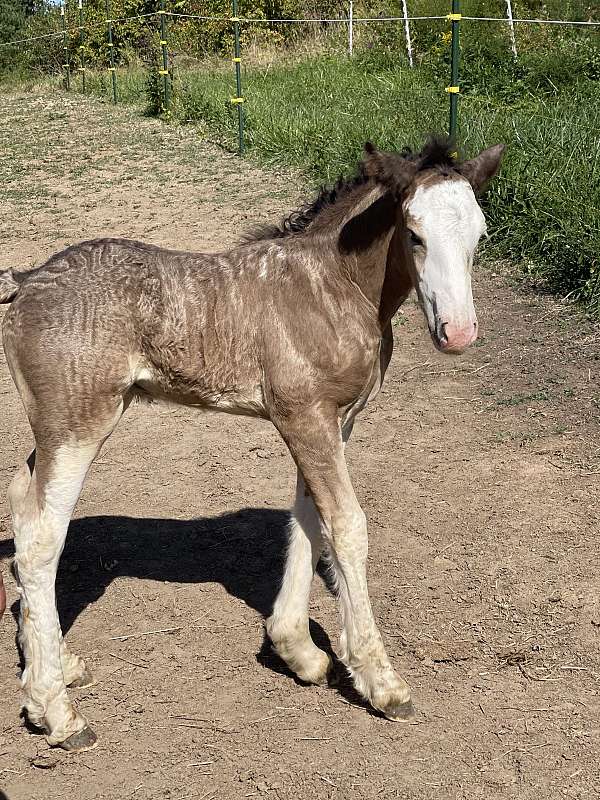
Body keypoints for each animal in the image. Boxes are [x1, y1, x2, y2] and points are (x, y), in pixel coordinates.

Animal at [0, 138, 504, 752]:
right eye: (414, 235)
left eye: (479, 235)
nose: (459, 333)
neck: (330, 284)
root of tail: (26, 280)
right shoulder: (306, 417)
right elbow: (347, 526)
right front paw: (381, 682)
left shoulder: (328, 422)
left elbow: (310, 517)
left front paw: (299, 652)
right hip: (78, 425)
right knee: (40, 540)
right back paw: (56, 712)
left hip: (56, 430)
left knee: (22, 502)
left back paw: (54, 668)